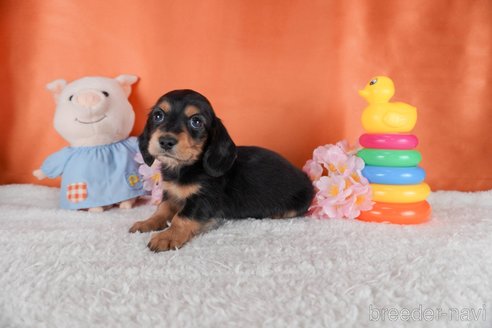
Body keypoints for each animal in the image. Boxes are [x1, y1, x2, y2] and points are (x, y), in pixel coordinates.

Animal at [130, 89, 316, 251]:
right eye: (158, 115)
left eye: (196, 121)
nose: (166, 141)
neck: (184, 168)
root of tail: (305, 177)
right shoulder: (171, 194)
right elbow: (162, 210)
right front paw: (146, 223)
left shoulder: (203, 199)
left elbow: (181, 217)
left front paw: (167, 236)